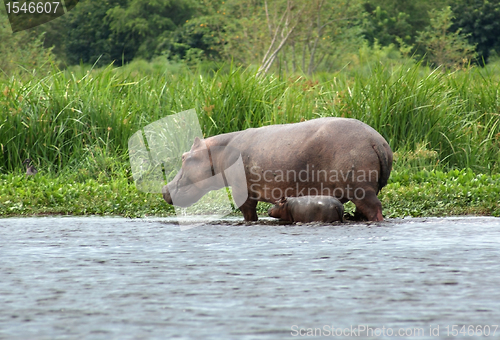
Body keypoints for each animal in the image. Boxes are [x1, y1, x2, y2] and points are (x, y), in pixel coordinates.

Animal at [162, 117, 392, 222]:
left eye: (184, 157)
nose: (164, 189)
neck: (218, 153)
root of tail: (377, 141)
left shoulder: (242, 191)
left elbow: (248, 214)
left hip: (361, 189)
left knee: (375, 210)